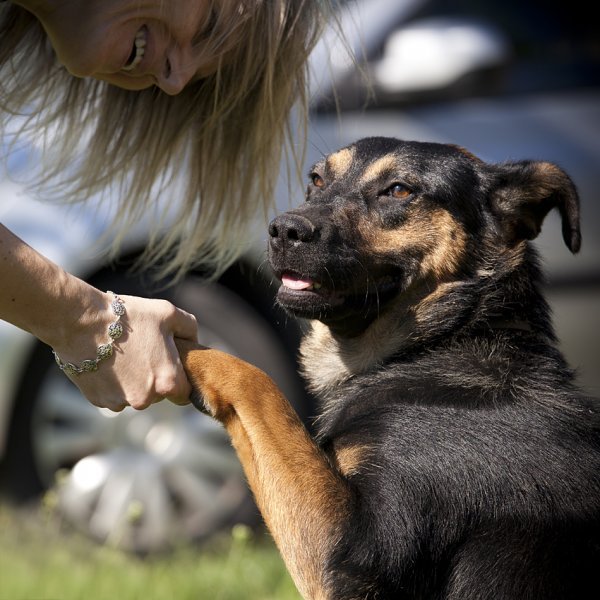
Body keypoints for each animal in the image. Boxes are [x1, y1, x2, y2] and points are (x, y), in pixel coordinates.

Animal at [178, 138, 600, 596]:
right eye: (317, 180)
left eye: (398, 190)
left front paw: (174, 346)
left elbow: (254, 380)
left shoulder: (347, 554)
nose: (283, 230)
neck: (444, 340)